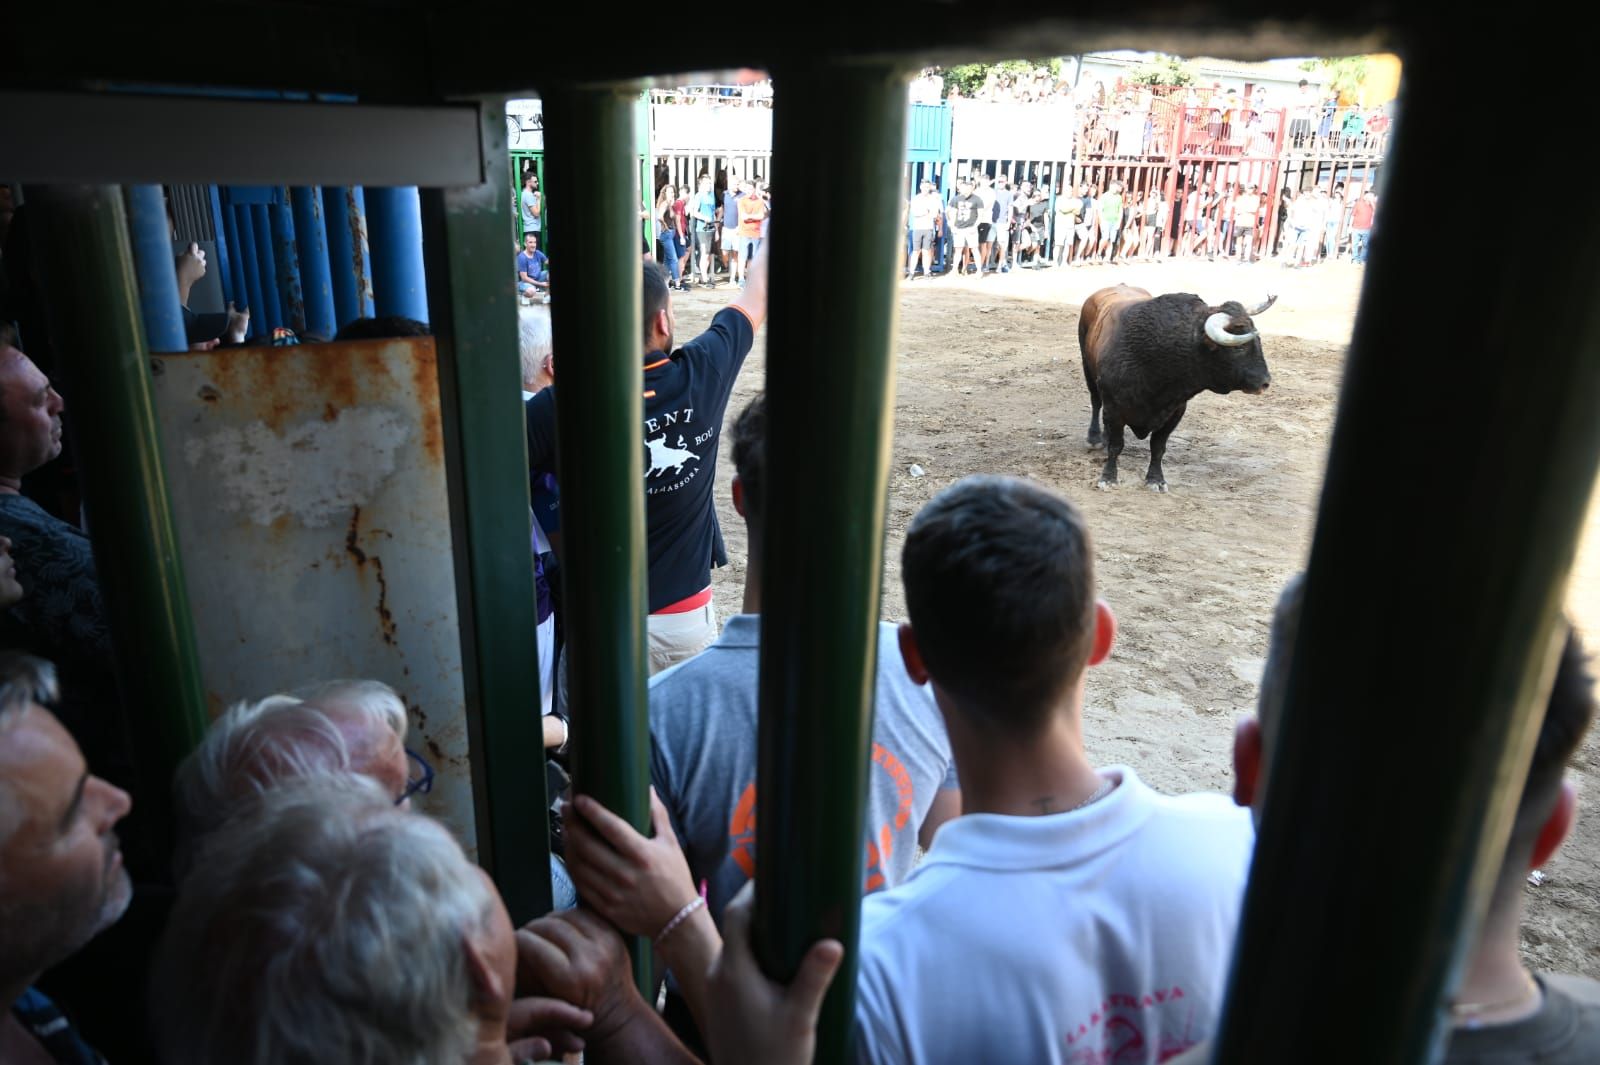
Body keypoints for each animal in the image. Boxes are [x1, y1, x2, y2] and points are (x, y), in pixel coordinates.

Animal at [1075, 286, 1273, 492]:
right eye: (1239, 347)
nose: (1265, 382)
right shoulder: (1114, 408)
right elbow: (1116, 445)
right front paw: (1108, 478)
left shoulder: (1175, 411)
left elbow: (1158, 447)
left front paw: (1156, 480)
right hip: (1088, 368)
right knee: (1096, 402)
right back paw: (1095, 438)